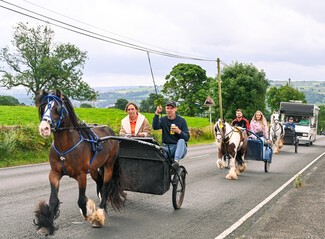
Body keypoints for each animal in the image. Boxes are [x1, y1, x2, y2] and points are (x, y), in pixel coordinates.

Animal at [32, 89, 124, 235]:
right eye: (43, 106)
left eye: (57, 108)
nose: (44, 128)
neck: (65, 148)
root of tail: (110, 131)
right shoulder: (54, 173)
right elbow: (53, 200)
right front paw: (46, 225)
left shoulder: (81, 175)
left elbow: (81, 200)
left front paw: (91, 214)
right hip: (93, 169)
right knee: (99, 181)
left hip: (109, 165)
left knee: (105, 187)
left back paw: (100, 212)